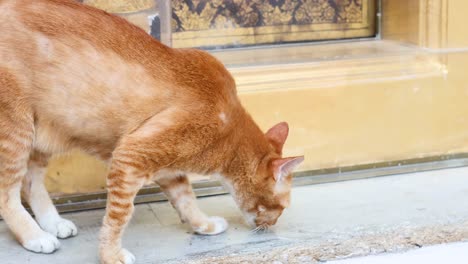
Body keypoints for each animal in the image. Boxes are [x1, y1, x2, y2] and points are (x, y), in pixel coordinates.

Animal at [0, 1, 304, 262]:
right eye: (281, 207)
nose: (272, 225)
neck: (230, 131)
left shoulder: (166, 165)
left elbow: (186, 199)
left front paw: (202, 224)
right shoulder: (131, 155)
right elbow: (118, 216)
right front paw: (110, 255)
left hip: (41, 136)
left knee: (30, 183)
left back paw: (52, 223)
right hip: (15, 130)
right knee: (8, 193)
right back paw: (34, 236)